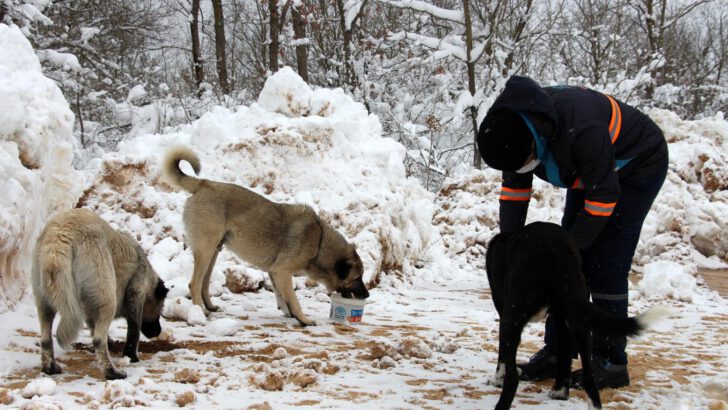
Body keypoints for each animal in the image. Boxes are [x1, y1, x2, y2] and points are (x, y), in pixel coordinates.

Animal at [31, 210, 168, 380]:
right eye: (160, 308)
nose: (158, 332)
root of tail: (58, 238)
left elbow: (93, 324)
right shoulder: (136, 291)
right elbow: (133, 330)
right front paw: (131, 357)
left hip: (44, 302)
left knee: (45, 339)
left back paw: (50, 368)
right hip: (108, 299)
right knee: (98, 340)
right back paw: (112, 372)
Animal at [161, 146, 366, 326]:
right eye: (356, 278)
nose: (367, 295)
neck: (319, 241)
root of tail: (204, 183)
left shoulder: (274, 272)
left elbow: (282, 297)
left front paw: (288, 312)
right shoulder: (282, 272)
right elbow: (294, 300)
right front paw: (304, 319)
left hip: (214, 251)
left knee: (204, 283)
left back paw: (209, 306)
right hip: (206, 249)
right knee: (194, 284)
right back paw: (200, 313)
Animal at [486, 223, 668, 410]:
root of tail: (552, 252)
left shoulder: (503, 310)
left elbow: (502, 357)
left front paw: (497, 379)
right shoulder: (561, 319)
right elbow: (565, 352)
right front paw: (560, 391)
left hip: (512, 317)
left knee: (513, 378)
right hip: (579, 318)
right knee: (589, 376)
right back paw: (572, 395)